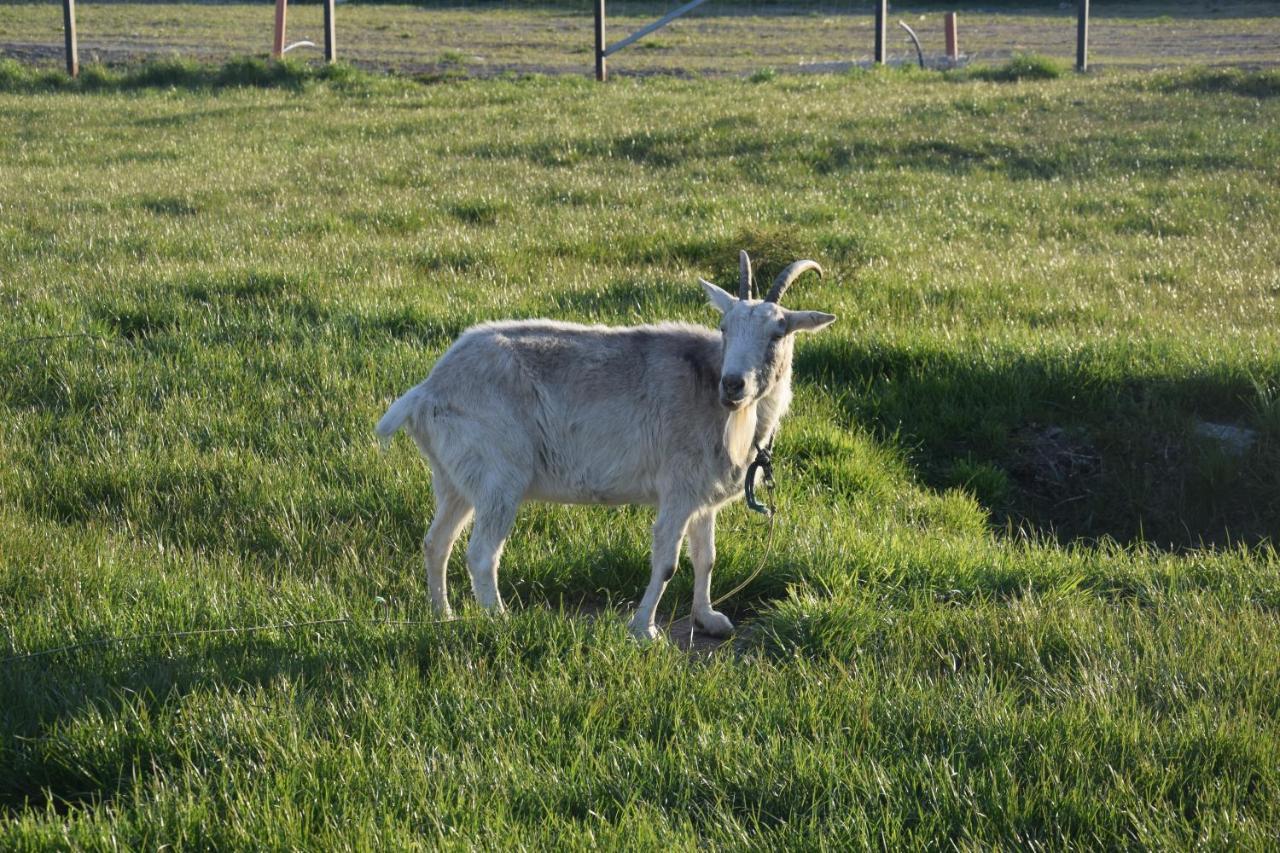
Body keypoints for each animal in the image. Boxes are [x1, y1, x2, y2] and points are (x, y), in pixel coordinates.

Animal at [373, 252, 834, 637]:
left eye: (777, 334)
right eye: (724, 329)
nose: (733, 385)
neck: (708, 390)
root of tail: (426, 391)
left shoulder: (702, 497)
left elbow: (706, 557)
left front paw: (708, 619)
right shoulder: (679, 489)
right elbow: (667, 563)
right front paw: (645, 631)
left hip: (453, 479)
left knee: (437, 542)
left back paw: (443, 615)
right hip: (498, 476)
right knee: (481, 554)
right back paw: (499, 621)